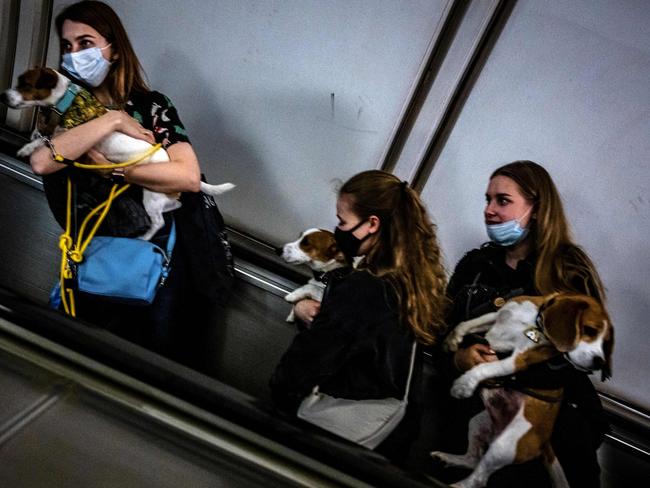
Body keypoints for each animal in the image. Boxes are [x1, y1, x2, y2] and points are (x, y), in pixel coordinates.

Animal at [1, 68, 234, 240]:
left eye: (25, 84)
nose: (3, 95)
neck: (69, 100)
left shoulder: (70, 133)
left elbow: (45, 140)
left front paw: (28, 148)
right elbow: (44, 135)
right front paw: (33, 138)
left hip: (152, 196)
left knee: (158, 222)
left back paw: (145, 237)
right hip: (160, 196)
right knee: (175, 205)